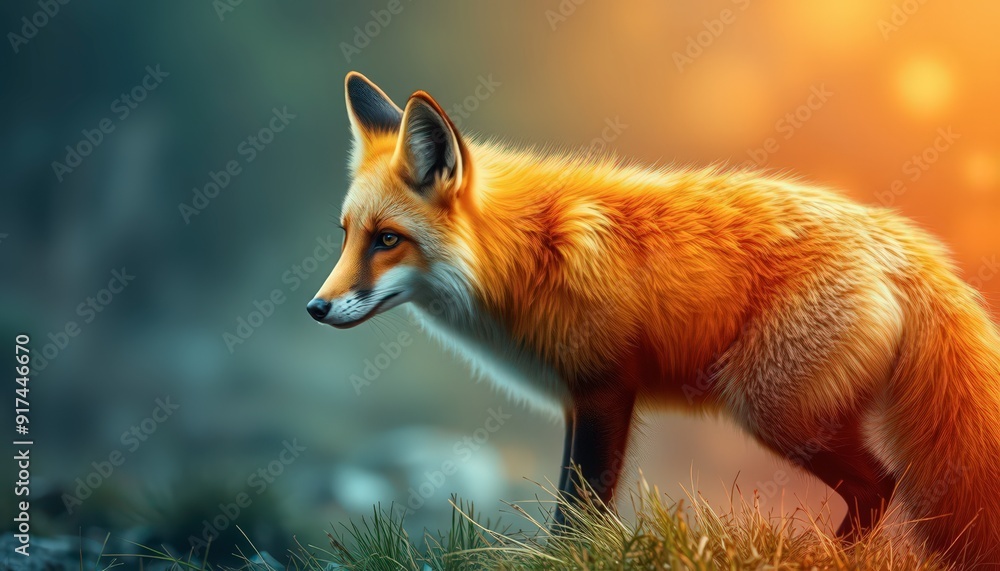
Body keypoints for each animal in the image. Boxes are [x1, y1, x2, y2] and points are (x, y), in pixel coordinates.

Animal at [306, 72, 1000, 567]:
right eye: (346, 235)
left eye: (388, 240)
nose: (315, 308)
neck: (524, 254)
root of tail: (899, 240)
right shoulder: (578, 400)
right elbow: (576, 507)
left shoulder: (604, 389)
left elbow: (576, 512)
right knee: (876, 489)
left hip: (773, 408)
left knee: (881, 484)